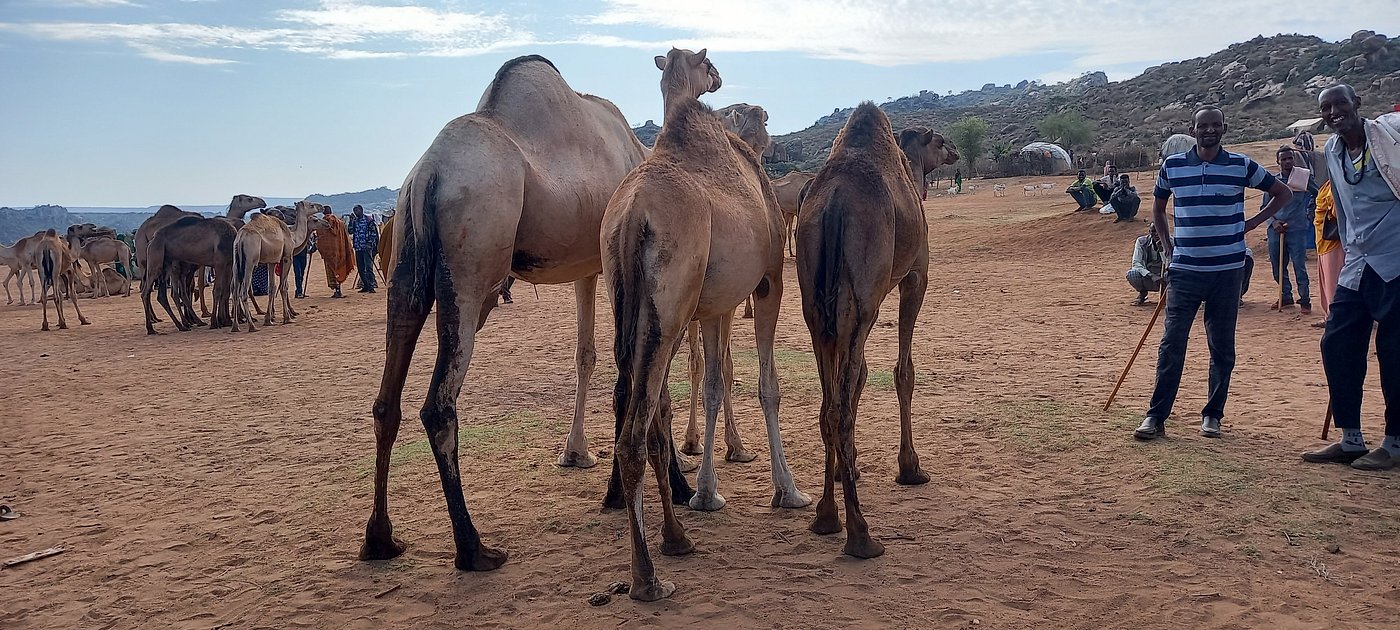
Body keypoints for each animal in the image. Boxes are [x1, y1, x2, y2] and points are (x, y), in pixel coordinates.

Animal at [230, 201, 326, 332]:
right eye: (311, 205)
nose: (322, 206)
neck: (293, 236)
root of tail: (241, 237)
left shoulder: (272, 261)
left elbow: (272, 287)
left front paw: (269, 319)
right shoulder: (287, 258)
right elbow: (283, 287)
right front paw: (288, 318)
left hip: (236, 262)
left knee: (235, 291)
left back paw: (235, 326)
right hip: (250, 261)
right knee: (243, 291)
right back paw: (252, 326)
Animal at [360, 55, 675, 574]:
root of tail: (429, 173)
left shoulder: (589, 266)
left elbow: (589, 355)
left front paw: (583, 460)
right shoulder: (618, 261)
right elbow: (626, 373)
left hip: (405, 259)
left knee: (388, 400)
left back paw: (380, 540)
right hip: (472, 261)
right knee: (438, 406)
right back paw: (474, 548)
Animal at [602, 48, 809, 601]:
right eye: (708, 63)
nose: (768, 129)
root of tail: (631, 219)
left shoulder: (715, 306)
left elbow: (717, 383)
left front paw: (707, 492)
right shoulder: (769, 281)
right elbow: (766, 384)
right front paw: (788, 490)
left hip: (636, 306)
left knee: (642, 411)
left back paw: (674, 538)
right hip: (671, 307)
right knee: (637, 431)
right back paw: (649, 577)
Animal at [796, 102, 933, 560]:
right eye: (942, 142)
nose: (956, 153)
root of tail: (833, 205)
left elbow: (856, 380)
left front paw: (848, 467)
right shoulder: (916, 275)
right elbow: (903, 373)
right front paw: (910, 467)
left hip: (816, 307)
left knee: (829, 407)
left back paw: (825, 516)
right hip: (861, 301)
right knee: (838, 407)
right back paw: (861, 534)